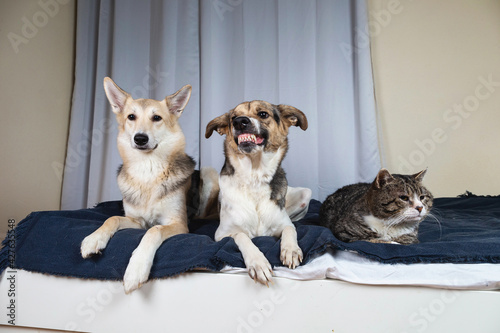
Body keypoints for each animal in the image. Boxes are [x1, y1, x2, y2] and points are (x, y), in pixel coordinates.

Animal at [80, 76, 217, 292]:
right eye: (131, 117)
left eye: (157, 118)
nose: (140, 138)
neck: (148, 170)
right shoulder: (137, 221)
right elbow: (112, 218)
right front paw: (94, 239)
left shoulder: (177, 224)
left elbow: (154, 230)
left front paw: (136, 269)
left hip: (209, 174)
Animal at [205, 100, 310, 284]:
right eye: (232, 118)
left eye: (262, 114)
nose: (240, 122)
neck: (254, 177)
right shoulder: (222, 234)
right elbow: (242, 236)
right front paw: (258, 263)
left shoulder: (284, 223)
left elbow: (291, 230)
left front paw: (291, 250)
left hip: (305, 194)